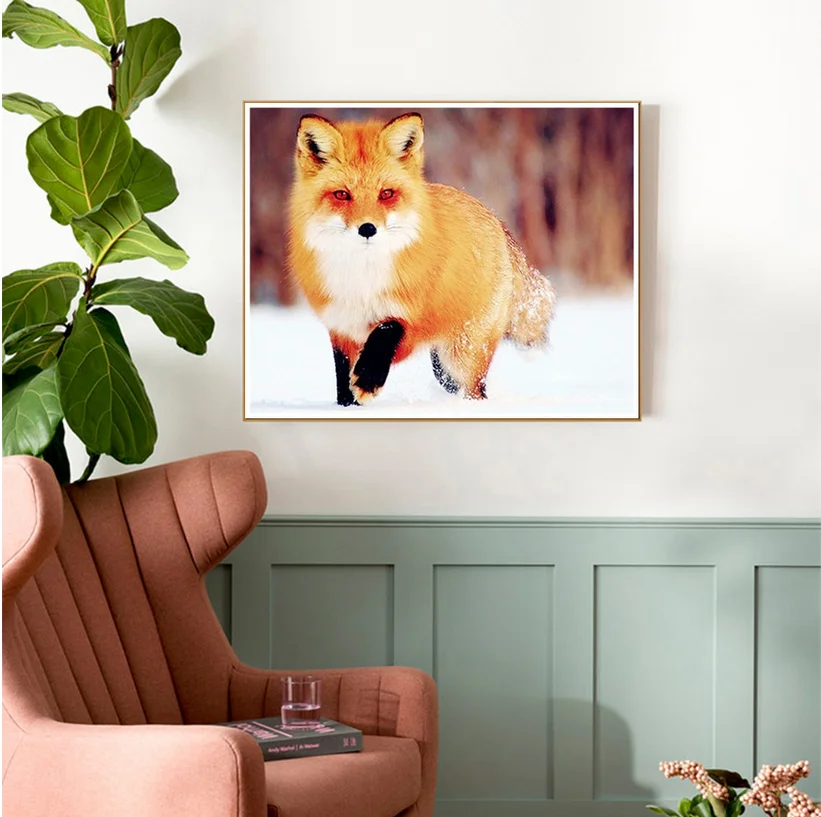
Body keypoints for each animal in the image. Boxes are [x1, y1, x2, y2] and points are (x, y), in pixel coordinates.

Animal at [286, 111, 556, 406]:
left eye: (386, 194)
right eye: (342, 194)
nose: (367, 229)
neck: (363, 280)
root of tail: (496, 219)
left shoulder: (411, 316)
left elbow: (385, 331)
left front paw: (368, 380)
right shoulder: (341, 324)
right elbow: (342, 376)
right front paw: (347, 406)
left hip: (463, 354)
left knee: (476, 389)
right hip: (444, 365)